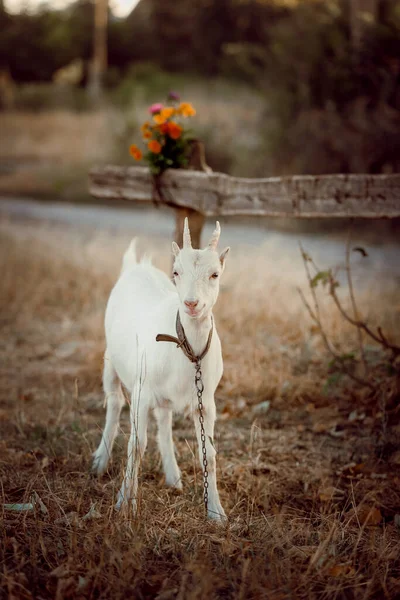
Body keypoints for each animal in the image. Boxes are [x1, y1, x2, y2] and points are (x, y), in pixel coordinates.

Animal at [92, 219, 230, 520]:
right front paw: (125, 503)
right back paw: (99, 461)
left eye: (215, 274)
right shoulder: (141, 392)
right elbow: (136, 445)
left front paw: (216, 512)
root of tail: (136, 265)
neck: (187, 350)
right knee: (115, 402)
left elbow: (210, 454)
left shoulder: (206, 403)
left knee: (164, 420)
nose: (191, 303)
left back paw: (173, 476)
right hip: (110, 360)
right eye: (176, 271)